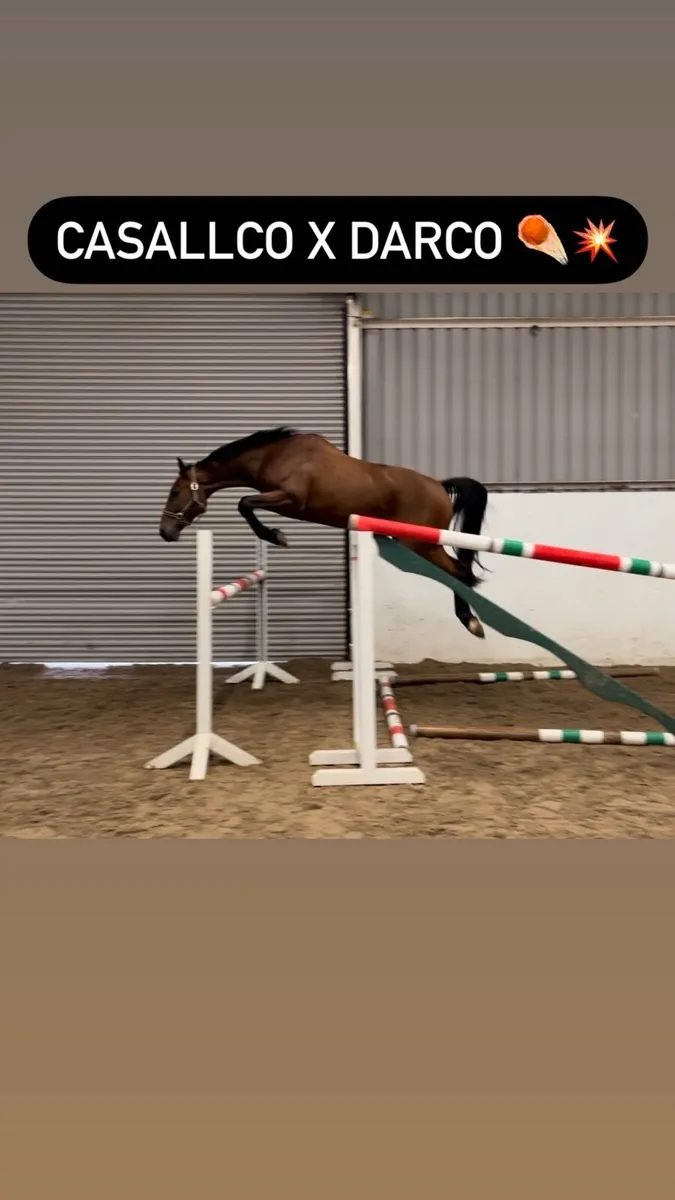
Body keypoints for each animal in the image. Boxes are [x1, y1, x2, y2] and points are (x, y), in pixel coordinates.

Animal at [158, 426, 489, 638]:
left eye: (175, 492)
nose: (165, 532)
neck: (274, 456)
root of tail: (439, 485)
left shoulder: (289, 499)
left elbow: (244, 503)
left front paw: (276, 536)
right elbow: (246, 505)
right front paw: (275, 535)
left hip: (421, 544)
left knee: (460, 572)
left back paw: (471, 622)